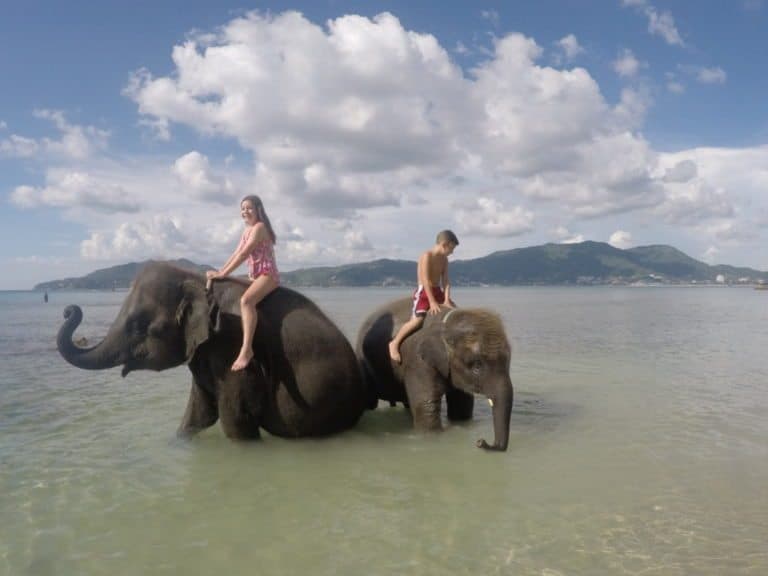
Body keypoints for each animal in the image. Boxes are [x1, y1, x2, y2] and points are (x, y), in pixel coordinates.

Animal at [57, 261, 367, 440]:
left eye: (139, 327)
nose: (69, 308)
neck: (193, 279)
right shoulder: (204, 351)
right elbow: (198, 414)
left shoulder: (232, 344)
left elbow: (235, 420)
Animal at [356, 299, 513, 451]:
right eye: (477, 366)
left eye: (508, 361)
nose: (480, 441)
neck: (447, 323)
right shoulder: (418, 362)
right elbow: (427, 406)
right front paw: (432, 437)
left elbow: (462, 405)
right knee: (370, 402)